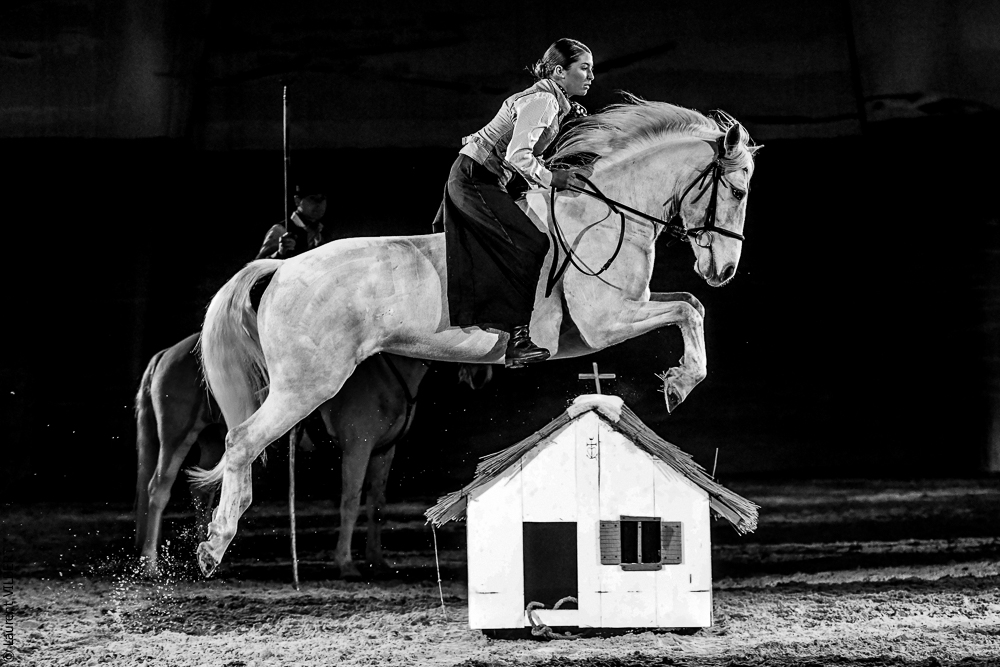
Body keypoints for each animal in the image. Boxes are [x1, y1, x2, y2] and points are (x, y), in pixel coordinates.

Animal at [134, 332, 491, 578]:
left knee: (203, 491)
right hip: (177, 436)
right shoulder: (358, 448)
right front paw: (345, 563)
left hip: (210, 441)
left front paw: (376, 560)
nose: (481, 374)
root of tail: (167, 353)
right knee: (159, 490)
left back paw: (210, 552)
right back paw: (151, 563)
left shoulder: (384, 452)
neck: (385, 373)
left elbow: (376, 503)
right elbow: (351, 501)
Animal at [190, 99, 758, 576]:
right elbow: (688, 309)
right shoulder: (609, 322)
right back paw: (214, 544)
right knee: (242, 440)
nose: (724, 271)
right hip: (307, 385)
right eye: (737, 190)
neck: (609, 213)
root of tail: (285, 267)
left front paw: (679, 380)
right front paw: (680, 383)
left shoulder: (621, 315)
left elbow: (691, 305)